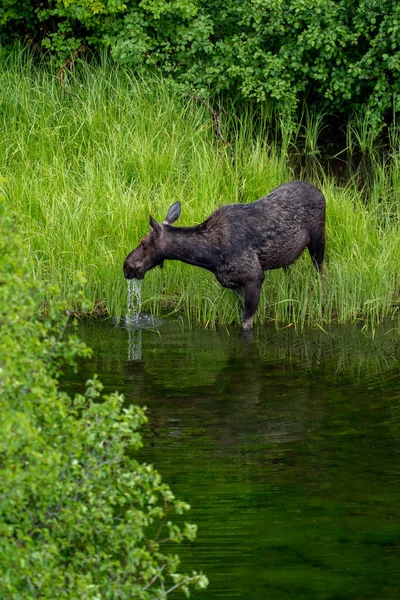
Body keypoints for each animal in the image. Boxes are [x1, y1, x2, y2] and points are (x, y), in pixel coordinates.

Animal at [123, 180, 326, 330]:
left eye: (143, 243)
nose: (126, 266)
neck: (209, 257)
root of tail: (319, 191)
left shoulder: (254, 278)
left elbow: (246, 323)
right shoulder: (234, 285)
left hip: (318, 241)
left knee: (320, 273)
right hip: (288, 260)